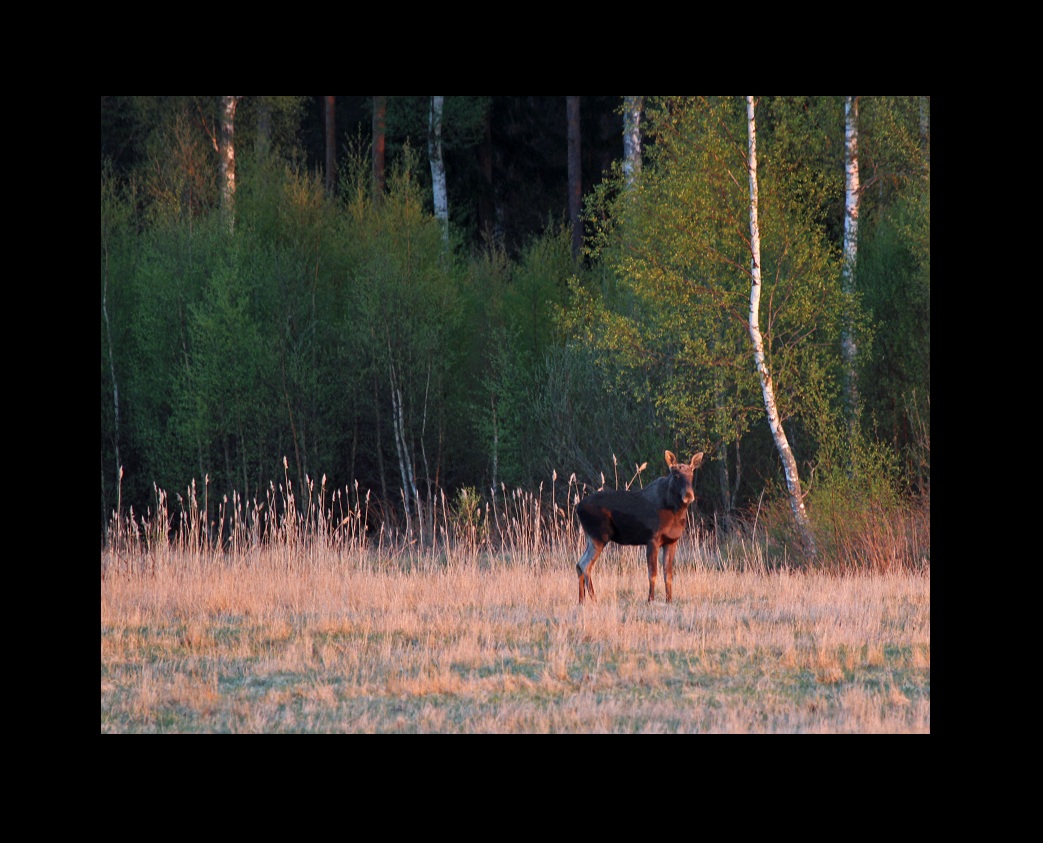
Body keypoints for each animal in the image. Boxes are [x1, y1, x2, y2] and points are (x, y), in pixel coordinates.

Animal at [575, 450, 705, 600]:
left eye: (692, 475)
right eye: (676, 475)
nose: (689, 495)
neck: (675, 512)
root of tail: (578, 507)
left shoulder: (671, 541)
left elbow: (668, 575)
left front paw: (669, 600)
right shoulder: (652, 539)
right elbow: (652, 574)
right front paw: (650, 600)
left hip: (591, 538)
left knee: (579, 564)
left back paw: (581, 600)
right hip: (599, 536)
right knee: (585, 565)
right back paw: (594, 599)